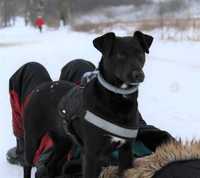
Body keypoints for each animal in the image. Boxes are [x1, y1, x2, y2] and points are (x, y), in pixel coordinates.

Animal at [57, 31, 153, 178]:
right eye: (120, 55)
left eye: (140, 53)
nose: (138, 75)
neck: (118, 98)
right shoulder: (91, 155)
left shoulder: (126, 150)